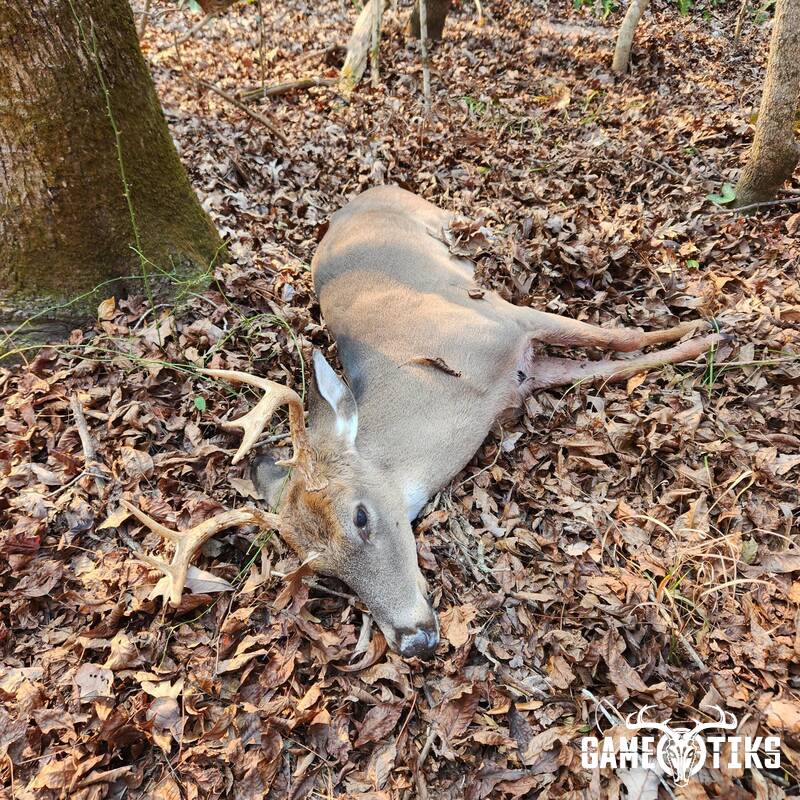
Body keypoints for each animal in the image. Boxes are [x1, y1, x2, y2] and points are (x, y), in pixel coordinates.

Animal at [123, 185, 725, 660]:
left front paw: (712, 326)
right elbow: (618, 362)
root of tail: (358, 197)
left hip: (437, 222)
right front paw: (703, 336)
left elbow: (621, 337)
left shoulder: (505, 323)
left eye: (361, 516)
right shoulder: (524, 373)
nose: (413, 640)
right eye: (324, 569)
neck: (451, 389)